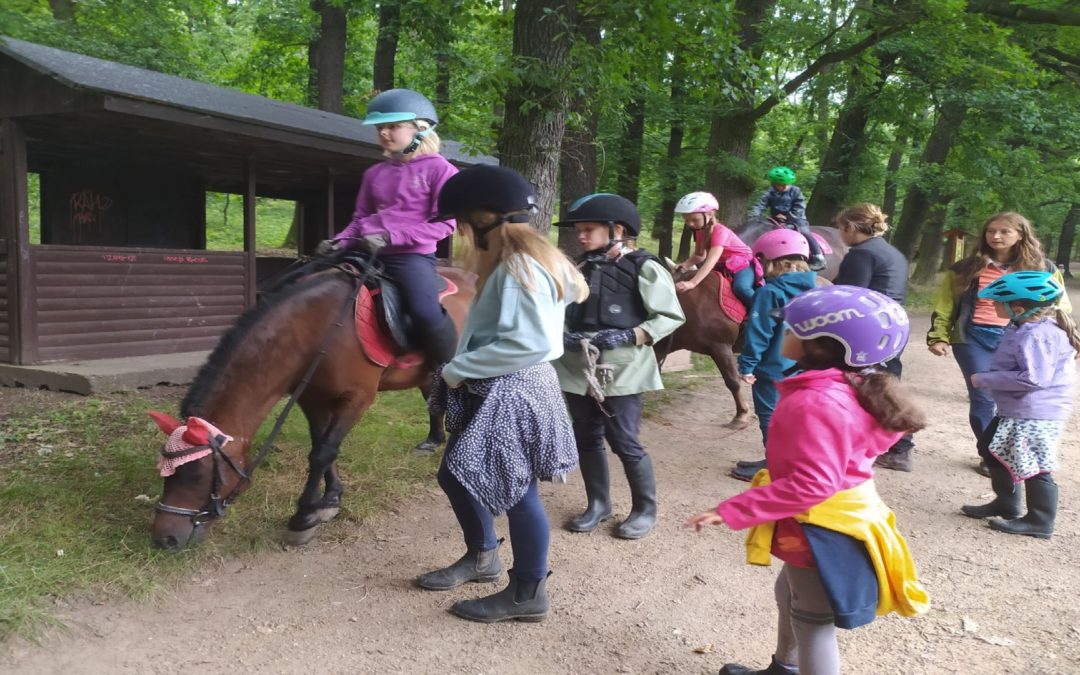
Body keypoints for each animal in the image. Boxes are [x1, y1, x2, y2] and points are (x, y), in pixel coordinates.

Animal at [147, 254, 473, 550]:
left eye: (197, 475)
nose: (165, 539)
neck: (316, 329)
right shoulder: (312, 398)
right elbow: (320, 448)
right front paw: (330, 498)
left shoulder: (357, 398)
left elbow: (322, 453)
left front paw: (302, 518)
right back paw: (433, 440)